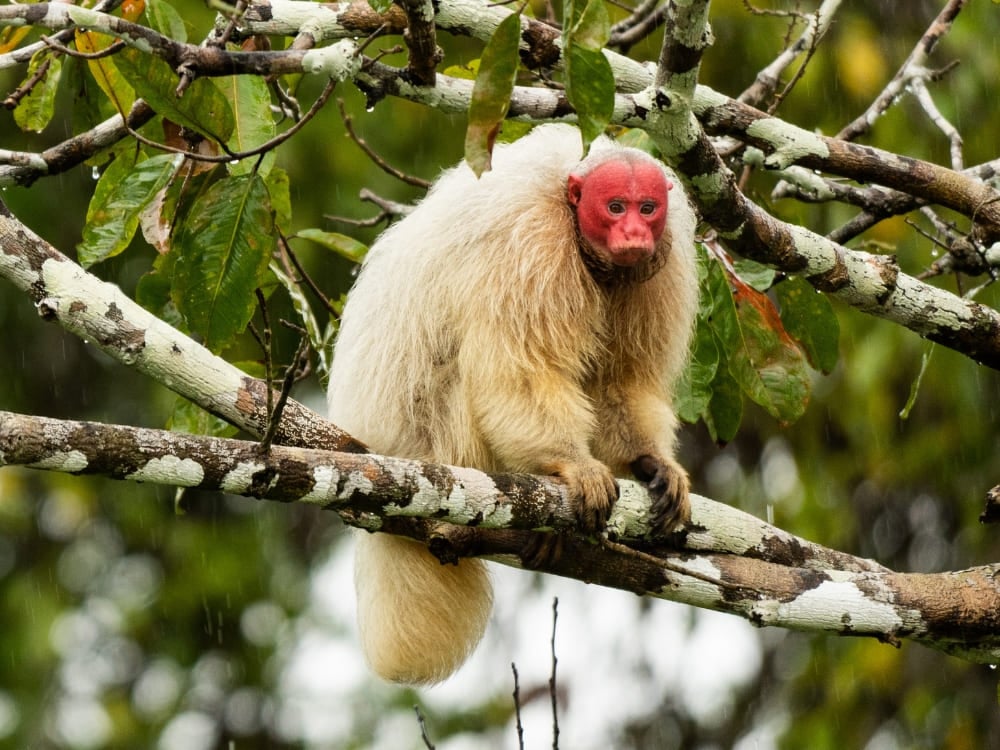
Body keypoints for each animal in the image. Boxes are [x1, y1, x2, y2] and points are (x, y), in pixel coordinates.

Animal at [326, 123, 699, 685]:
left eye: (647, 208)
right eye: (614, 207)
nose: (634, 233)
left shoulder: (663, 263)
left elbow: (621, 383)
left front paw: (654, 462)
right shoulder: (529, 246)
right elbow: (520, 370)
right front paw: (572, 465)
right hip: (441, 443)